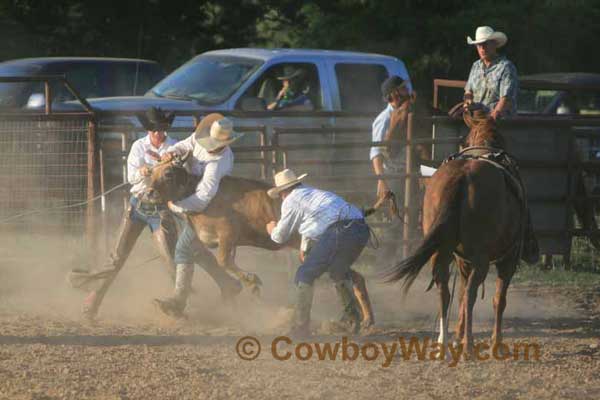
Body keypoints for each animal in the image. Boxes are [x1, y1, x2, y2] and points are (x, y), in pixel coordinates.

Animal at [386, 108, 524, 354]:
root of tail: (462, 176)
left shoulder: (462, 260)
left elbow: (459, 294)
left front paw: (458, 333)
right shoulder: (508, 258)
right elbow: (499, 299)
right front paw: (496, 342)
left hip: (443, 252)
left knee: (445, 290)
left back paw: (444, 341)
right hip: (481, 258)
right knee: (470, 294)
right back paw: (468, 344)